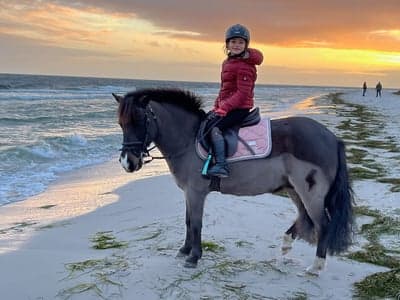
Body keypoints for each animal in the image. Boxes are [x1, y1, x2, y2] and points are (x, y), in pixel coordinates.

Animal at [112, 88, 354, 276]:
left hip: (310, 192)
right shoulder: (188, 193)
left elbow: (196, 223)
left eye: (141, 121)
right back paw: (286, 246)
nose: (127, 162)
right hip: (294, 190)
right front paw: (184, 251)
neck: (189, 140)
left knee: (322, 224)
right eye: (121, 124)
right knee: (305, 218)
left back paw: (316, 266)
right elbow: (188, 222)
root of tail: (332, 138)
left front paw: (194, 257)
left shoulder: (196, 192)